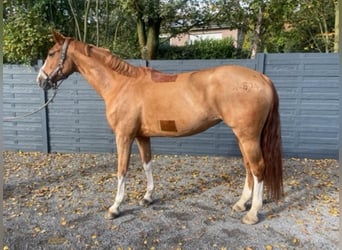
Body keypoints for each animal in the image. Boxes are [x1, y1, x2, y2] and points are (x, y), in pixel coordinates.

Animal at [38, 31, 284, 225]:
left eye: (51, 53)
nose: (41, 80)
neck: (122, 84)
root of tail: (262, 78)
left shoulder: (124, 136)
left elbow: (122, 170)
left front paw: (115, 207)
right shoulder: (141, 136)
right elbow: (147, 164)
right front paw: (147, 197)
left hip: (248, 136)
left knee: (258, 167)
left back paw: (253, 213)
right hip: (242, 136)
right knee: (248, 167)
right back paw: (242, 204)